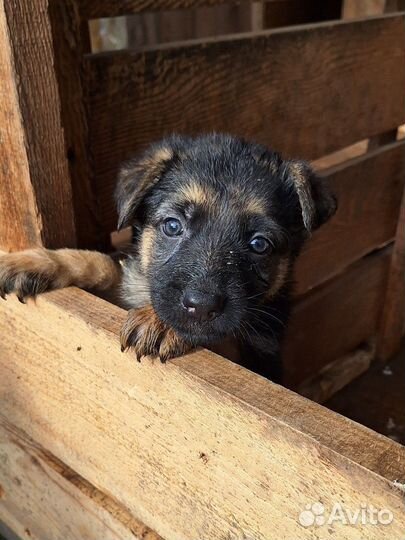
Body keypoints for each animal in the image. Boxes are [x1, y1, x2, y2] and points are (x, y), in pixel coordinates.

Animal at [0, 133, 334, 382]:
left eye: (259, 244)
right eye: (173, 226)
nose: (201, 307)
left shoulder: (258, 349)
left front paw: (164, 324)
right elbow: (107, 265)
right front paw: (34, 262)